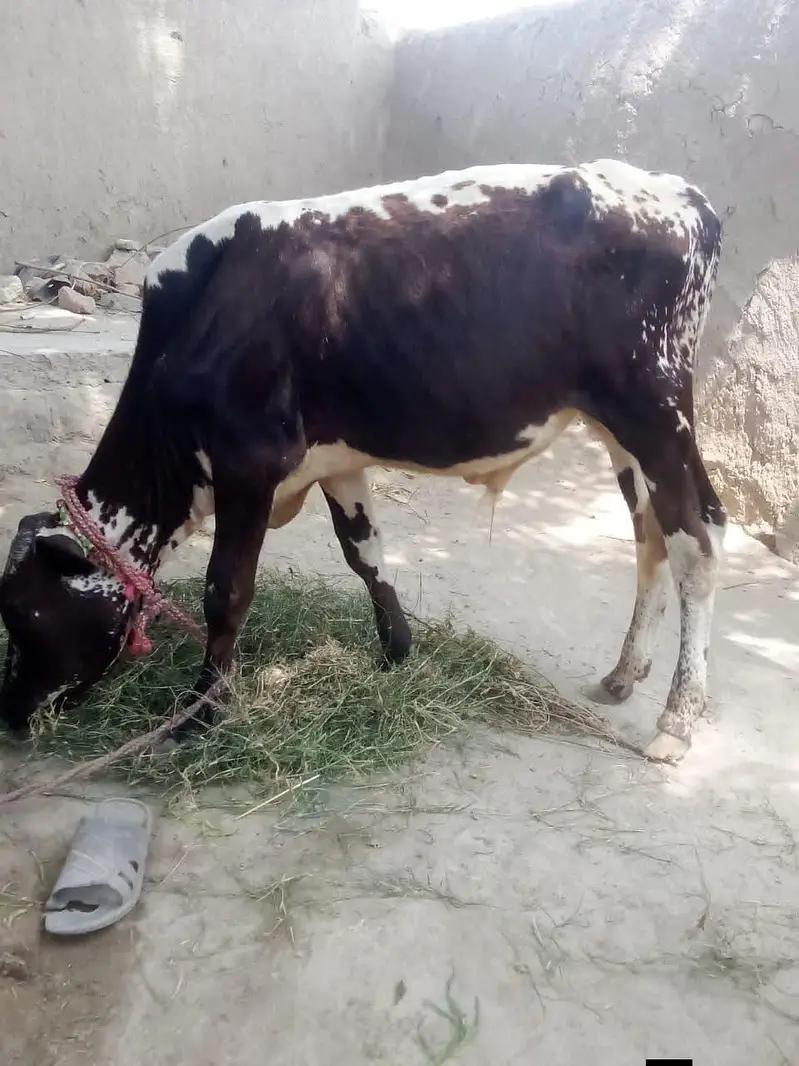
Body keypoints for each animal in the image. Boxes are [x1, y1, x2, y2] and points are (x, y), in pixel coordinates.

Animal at [0, 159, 725, 761]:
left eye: (24, 616)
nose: (14, 716)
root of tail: (680, 193)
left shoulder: (248, 462)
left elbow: (226, 590)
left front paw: (200, 714)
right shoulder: (332, 461)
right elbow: (365, 552)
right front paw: (397, 650)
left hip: (655, 413)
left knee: (695, 544)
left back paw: (676, 721)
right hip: (620, 428)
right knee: (656, 535)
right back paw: (631, 674)